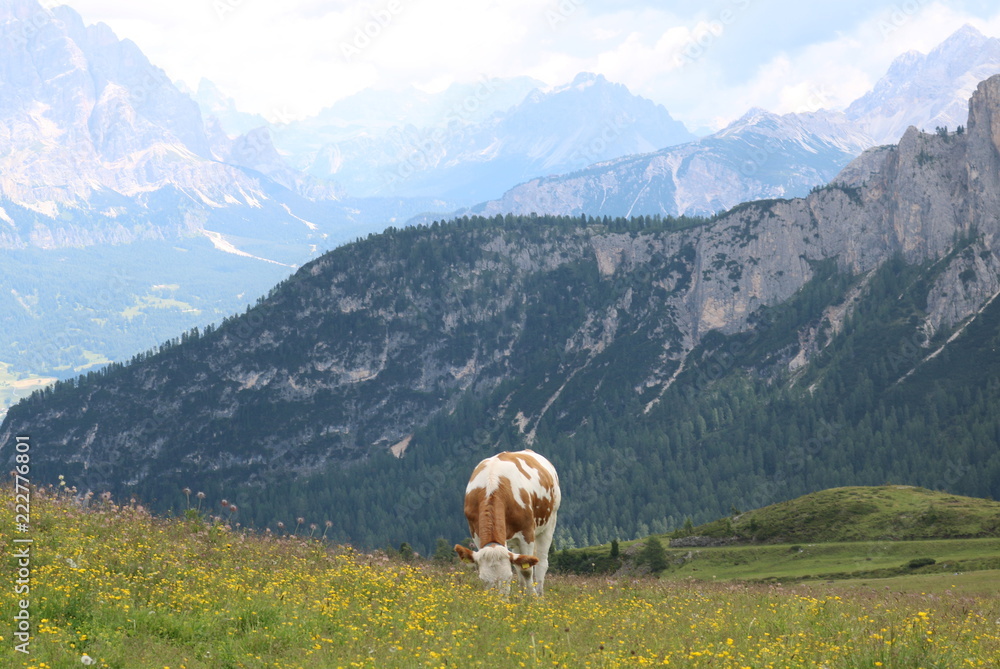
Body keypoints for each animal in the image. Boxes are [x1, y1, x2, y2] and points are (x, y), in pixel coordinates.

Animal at [454, 449, 561, 595]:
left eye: (509, 578)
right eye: (482, 579)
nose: (496, 600)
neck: (491, 486)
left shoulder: (527, 532)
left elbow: (527, 570)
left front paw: (532, 597)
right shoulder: (475, 532)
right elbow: (519, 567)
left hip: (549, 523)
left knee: (542, 563)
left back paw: (539, 594)